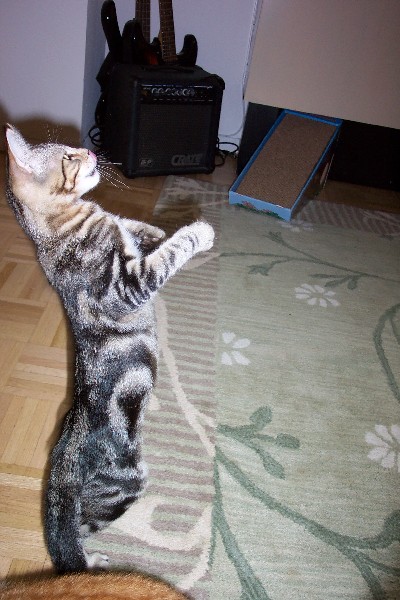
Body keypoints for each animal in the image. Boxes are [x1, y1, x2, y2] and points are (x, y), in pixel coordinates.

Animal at [5, 125, 214, 574]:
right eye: (68, 157)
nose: (88, 149)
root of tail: (60, 469)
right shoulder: (127, 285)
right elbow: (167, 255)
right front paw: (200, 233)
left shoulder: (128, 235)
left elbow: (145, 231)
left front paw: (167, 225)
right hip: (126, 486)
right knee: (79, 534)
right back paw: (94, 562)